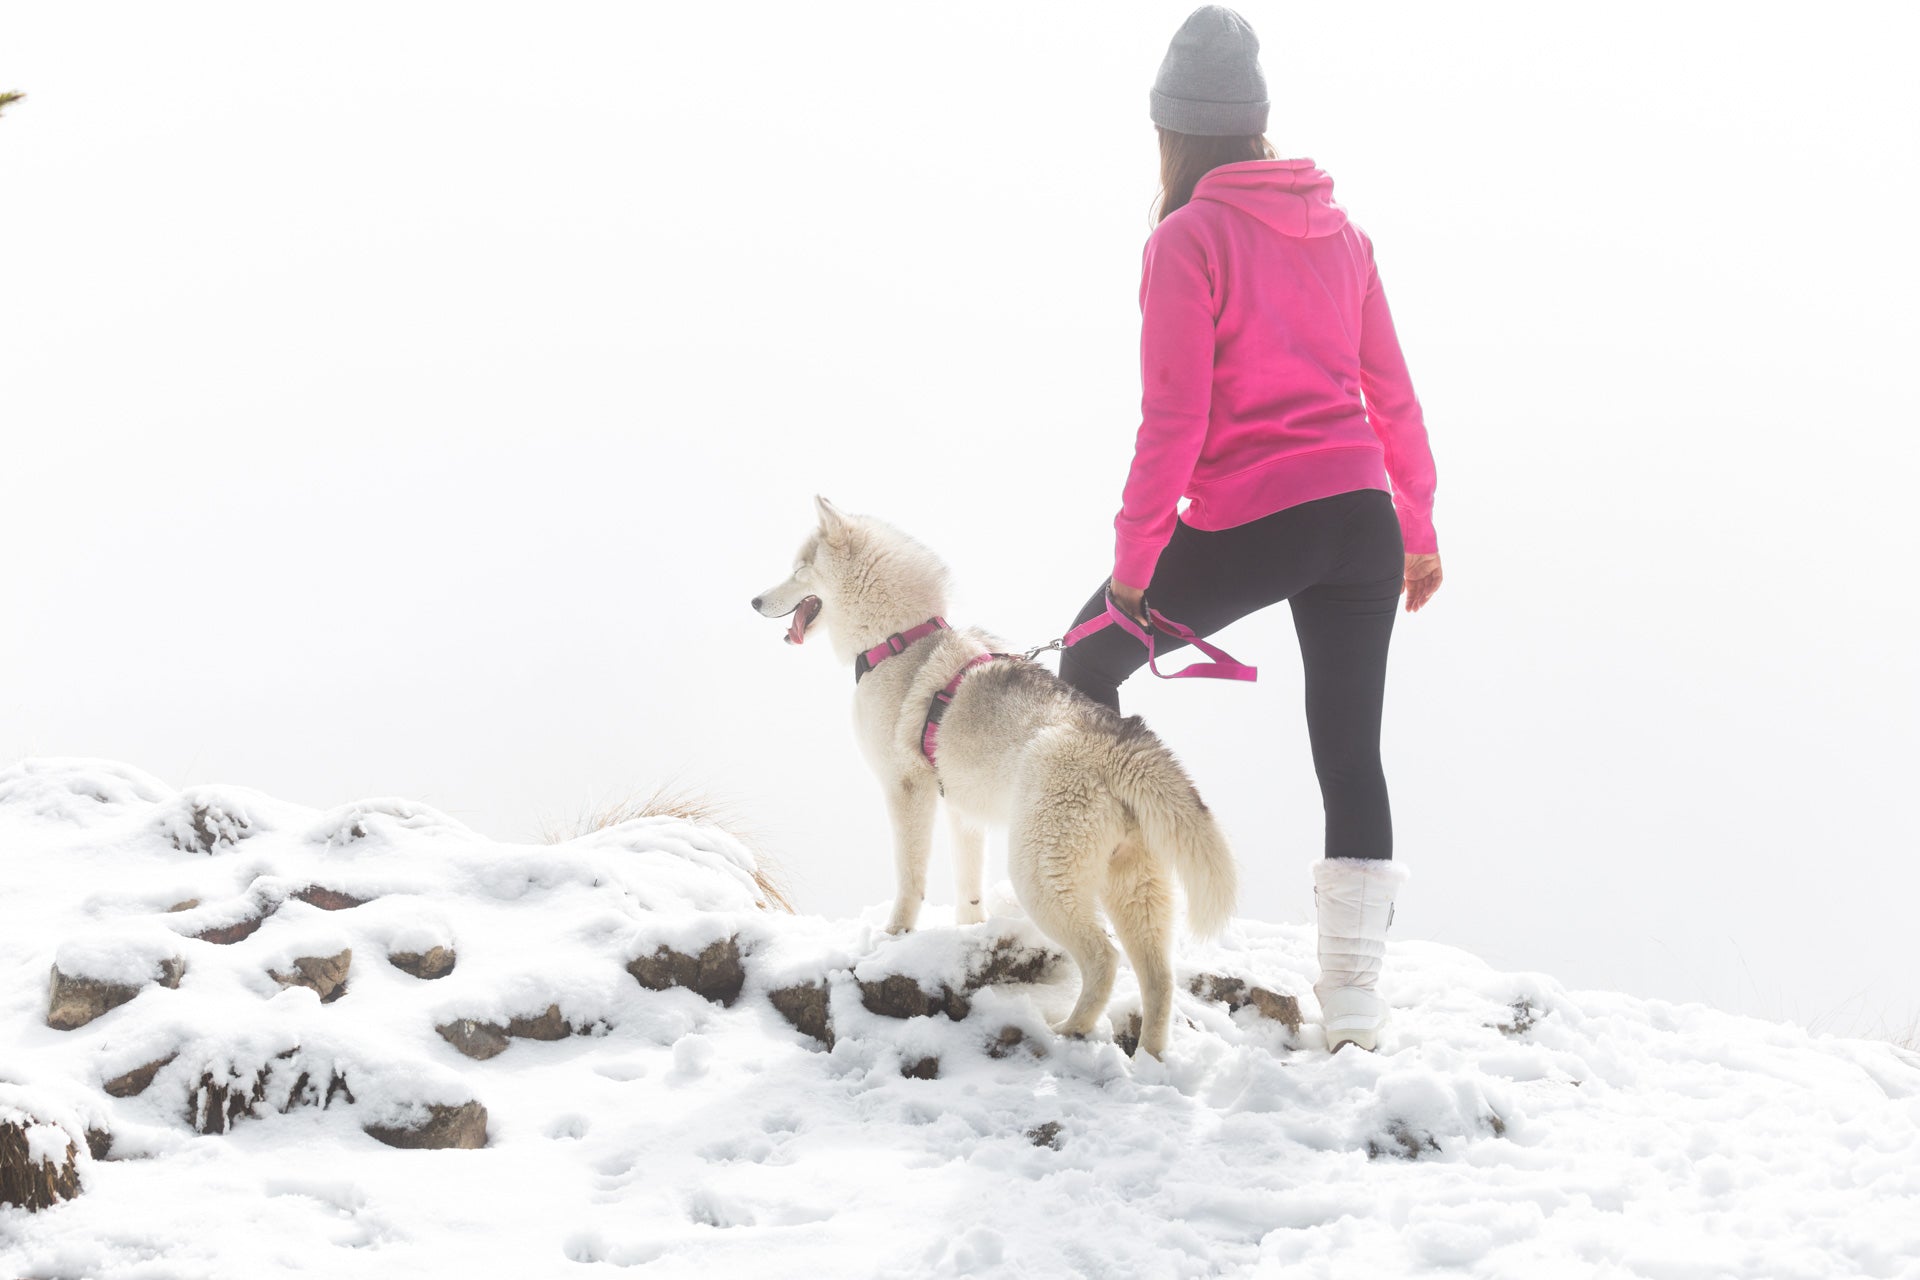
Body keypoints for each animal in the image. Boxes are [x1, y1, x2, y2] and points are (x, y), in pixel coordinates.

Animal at [748, 495, 1228, 1059]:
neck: (898, 640)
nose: (754, 601)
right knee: (1159, 978)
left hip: (1041, 877)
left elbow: (909, 878)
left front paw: (894, 936)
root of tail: (1118, 742)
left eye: (800, 568)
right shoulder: (961, 808)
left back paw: (1071, 1030)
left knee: (1104, 959)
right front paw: (969, 933)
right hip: (1133, 889)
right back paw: (1151, 1058)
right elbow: (968, 887)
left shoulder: (906, 791)